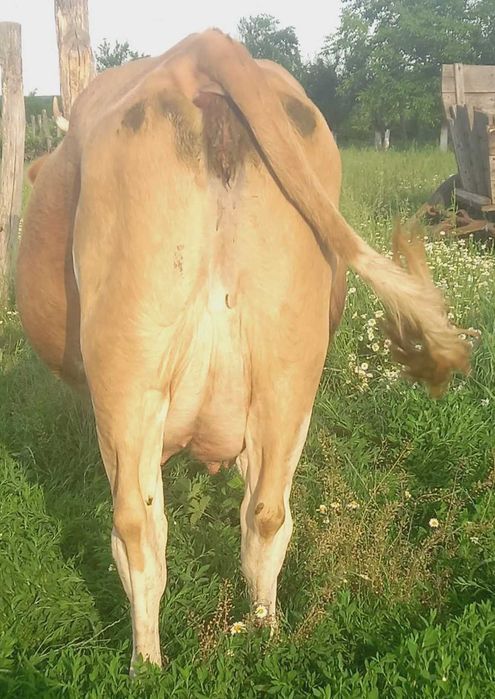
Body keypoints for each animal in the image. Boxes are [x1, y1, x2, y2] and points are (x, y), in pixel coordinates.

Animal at [16, 29, 469, 670]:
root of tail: (202, 47)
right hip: (289, 367)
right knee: (267, 513)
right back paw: (265, 637)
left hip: (129, 370)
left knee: (137, 528)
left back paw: (145, 666)